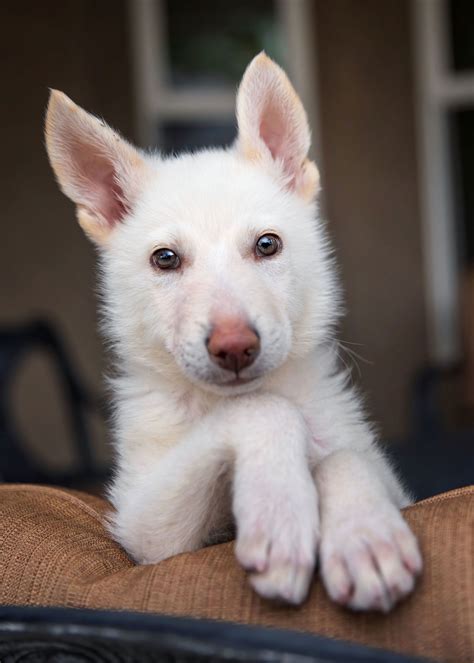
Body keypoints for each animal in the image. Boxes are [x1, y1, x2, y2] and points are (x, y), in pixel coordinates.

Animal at [44, 52, 422, 612]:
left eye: (267, 245)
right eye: (165, 259)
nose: (235, 348)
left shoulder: (392, 484)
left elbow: (343, 456)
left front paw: (365, 536)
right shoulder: (147, 531)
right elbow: (262, 410)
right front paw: (280, 513)